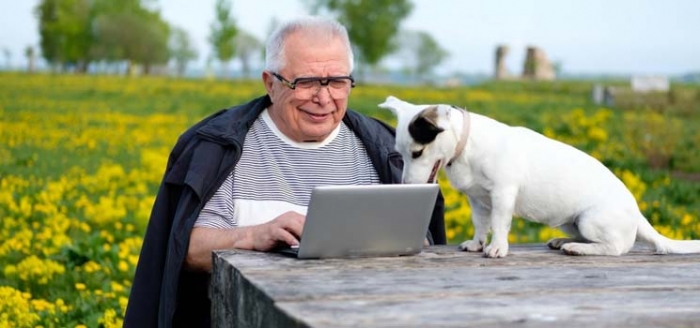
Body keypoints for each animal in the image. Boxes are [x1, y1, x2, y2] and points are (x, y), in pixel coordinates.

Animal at [380, 96, 700, 258]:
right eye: (400, 154)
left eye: (417, 153)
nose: (405, 186)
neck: (465, 146)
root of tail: (637, 214)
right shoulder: (478, 201)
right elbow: (481, 225)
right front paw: (477, 243)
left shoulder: (502, 194)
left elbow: (499, 224)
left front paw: (496, 248)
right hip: (573, 222)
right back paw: (563, 241)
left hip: (591, 220)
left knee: (616, 248)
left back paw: (578, 249)